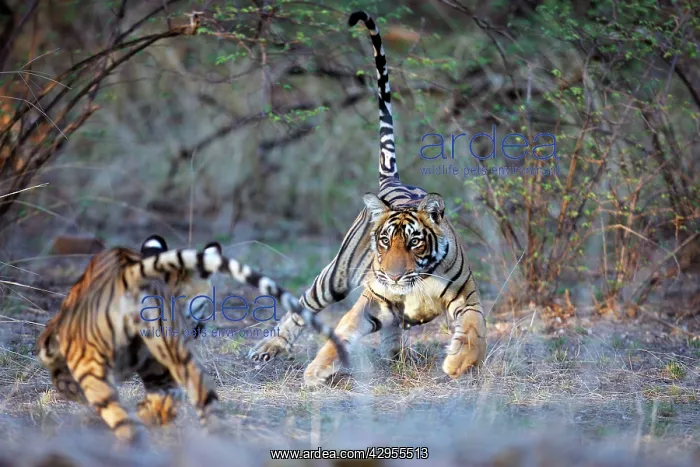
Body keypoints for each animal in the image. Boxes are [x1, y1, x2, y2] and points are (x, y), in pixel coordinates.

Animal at [249, 11, 487, 387]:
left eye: (414, 243)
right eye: (385, 242)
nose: (393, 277)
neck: (417, 282)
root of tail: (395, 181)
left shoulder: (467, 297)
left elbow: (474, 328)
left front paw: (458, 363)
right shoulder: (372, 300)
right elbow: (342, 332)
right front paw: (316, 372)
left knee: (394, 330)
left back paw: (398, 356)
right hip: (335, 276)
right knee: (302, 305)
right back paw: (268, 347)